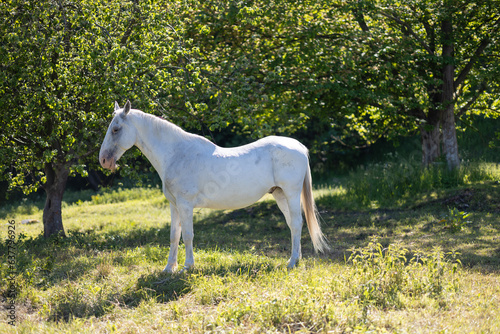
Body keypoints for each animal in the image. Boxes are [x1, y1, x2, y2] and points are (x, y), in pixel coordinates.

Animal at [99, 100, 330, 272]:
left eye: (116, 129)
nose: (104, 161)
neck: (177, 154)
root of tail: (298, 146)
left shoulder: (185, 205)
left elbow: (188, 235)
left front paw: (187, 267)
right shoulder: (174, 205)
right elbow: (174, 236)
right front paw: (168, 268)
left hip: (291, 194)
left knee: (297, 223)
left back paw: (291, 263)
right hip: (280, 195)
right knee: (292, 224)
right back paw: (295, 259)